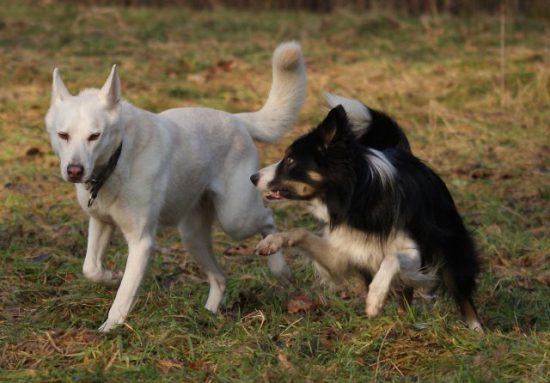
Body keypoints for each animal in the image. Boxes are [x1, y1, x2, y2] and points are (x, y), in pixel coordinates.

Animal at [45, 42, 308, 332]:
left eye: (95, 136)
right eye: (63, 135)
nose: (74, 171)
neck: (118, 159)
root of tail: (237, 120)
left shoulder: (141, 242)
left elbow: (124, 294)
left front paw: (109, 329)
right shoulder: (101, 222)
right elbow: (90, 269)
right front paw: (112, 276)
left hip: (236, 218)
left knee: (268, 219)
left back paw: (278, 266)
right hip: (192, 236)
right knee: (220, 277)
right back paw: (208, 314)